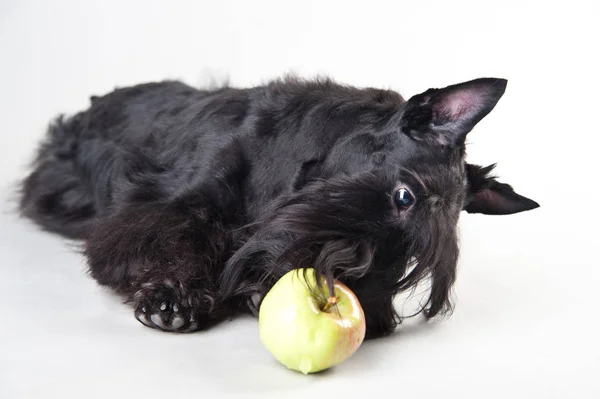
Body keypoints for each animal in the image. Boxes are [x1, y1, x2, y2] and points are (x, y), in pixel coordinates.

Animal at [17, 75, 540, 338]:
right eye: (404, 197)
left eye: (414, 255)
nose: (373, 320)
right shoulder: (167, 206)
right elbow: (170, 239)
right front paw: (174, 297)